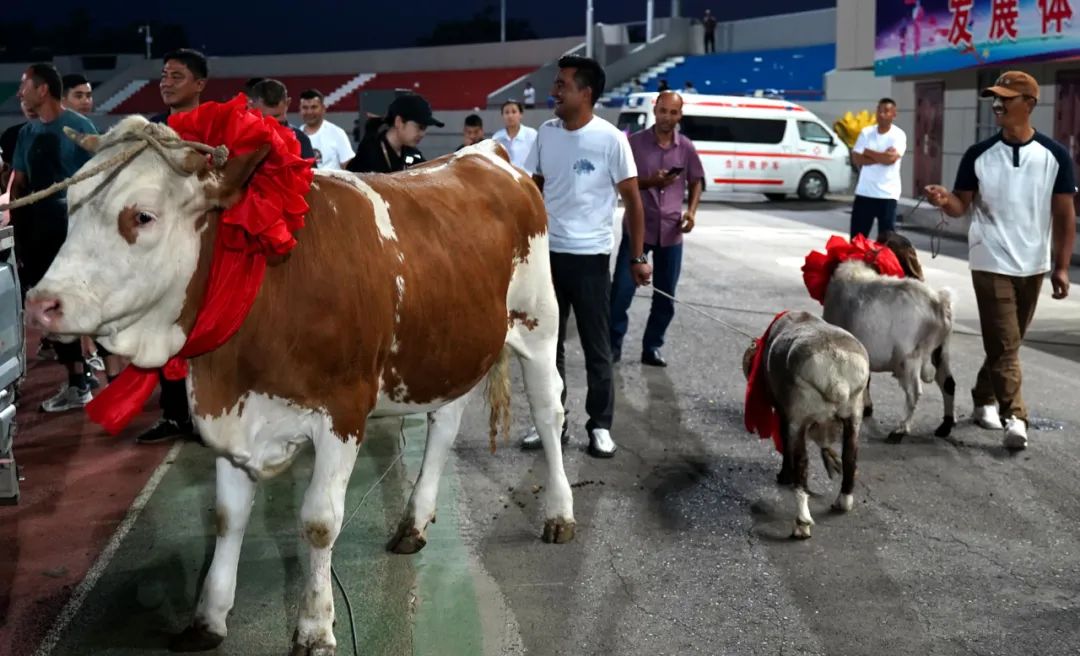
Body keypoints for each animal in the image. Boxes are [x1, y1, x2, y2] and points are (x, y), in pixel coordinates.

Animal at [25, 119, 574, 656]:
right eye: (71, 208)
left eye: (142, 216)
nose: (41, 303)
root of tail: (485, 153)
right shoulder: (230, 413)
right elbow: (227, 516)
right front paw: (208, 618)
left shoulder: (343, 412)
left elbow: (318, 521)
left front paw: (314, 627)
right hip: (449, 344)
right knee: (445, 420)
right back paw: (413, 523)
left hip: (538, 321)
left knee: (549, 411)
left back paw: (559, 513)